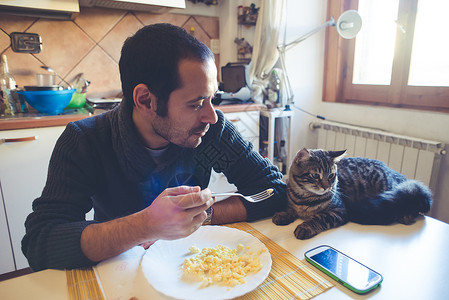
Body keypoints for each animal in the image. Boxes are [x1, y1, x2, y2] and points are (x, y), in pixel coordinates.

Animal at [272, 149, 432, 240]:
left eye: (331, 176)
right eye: (315, 175)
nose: (326, 187)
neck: (305, 198)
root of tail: (396, 173)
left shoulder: (339, 211)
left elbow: (319, 218)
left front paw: (305, 227)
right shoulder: (292, 202)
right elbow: (289, 209)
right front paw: (282, 215)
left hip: (389, 191)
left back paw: (406, 216)